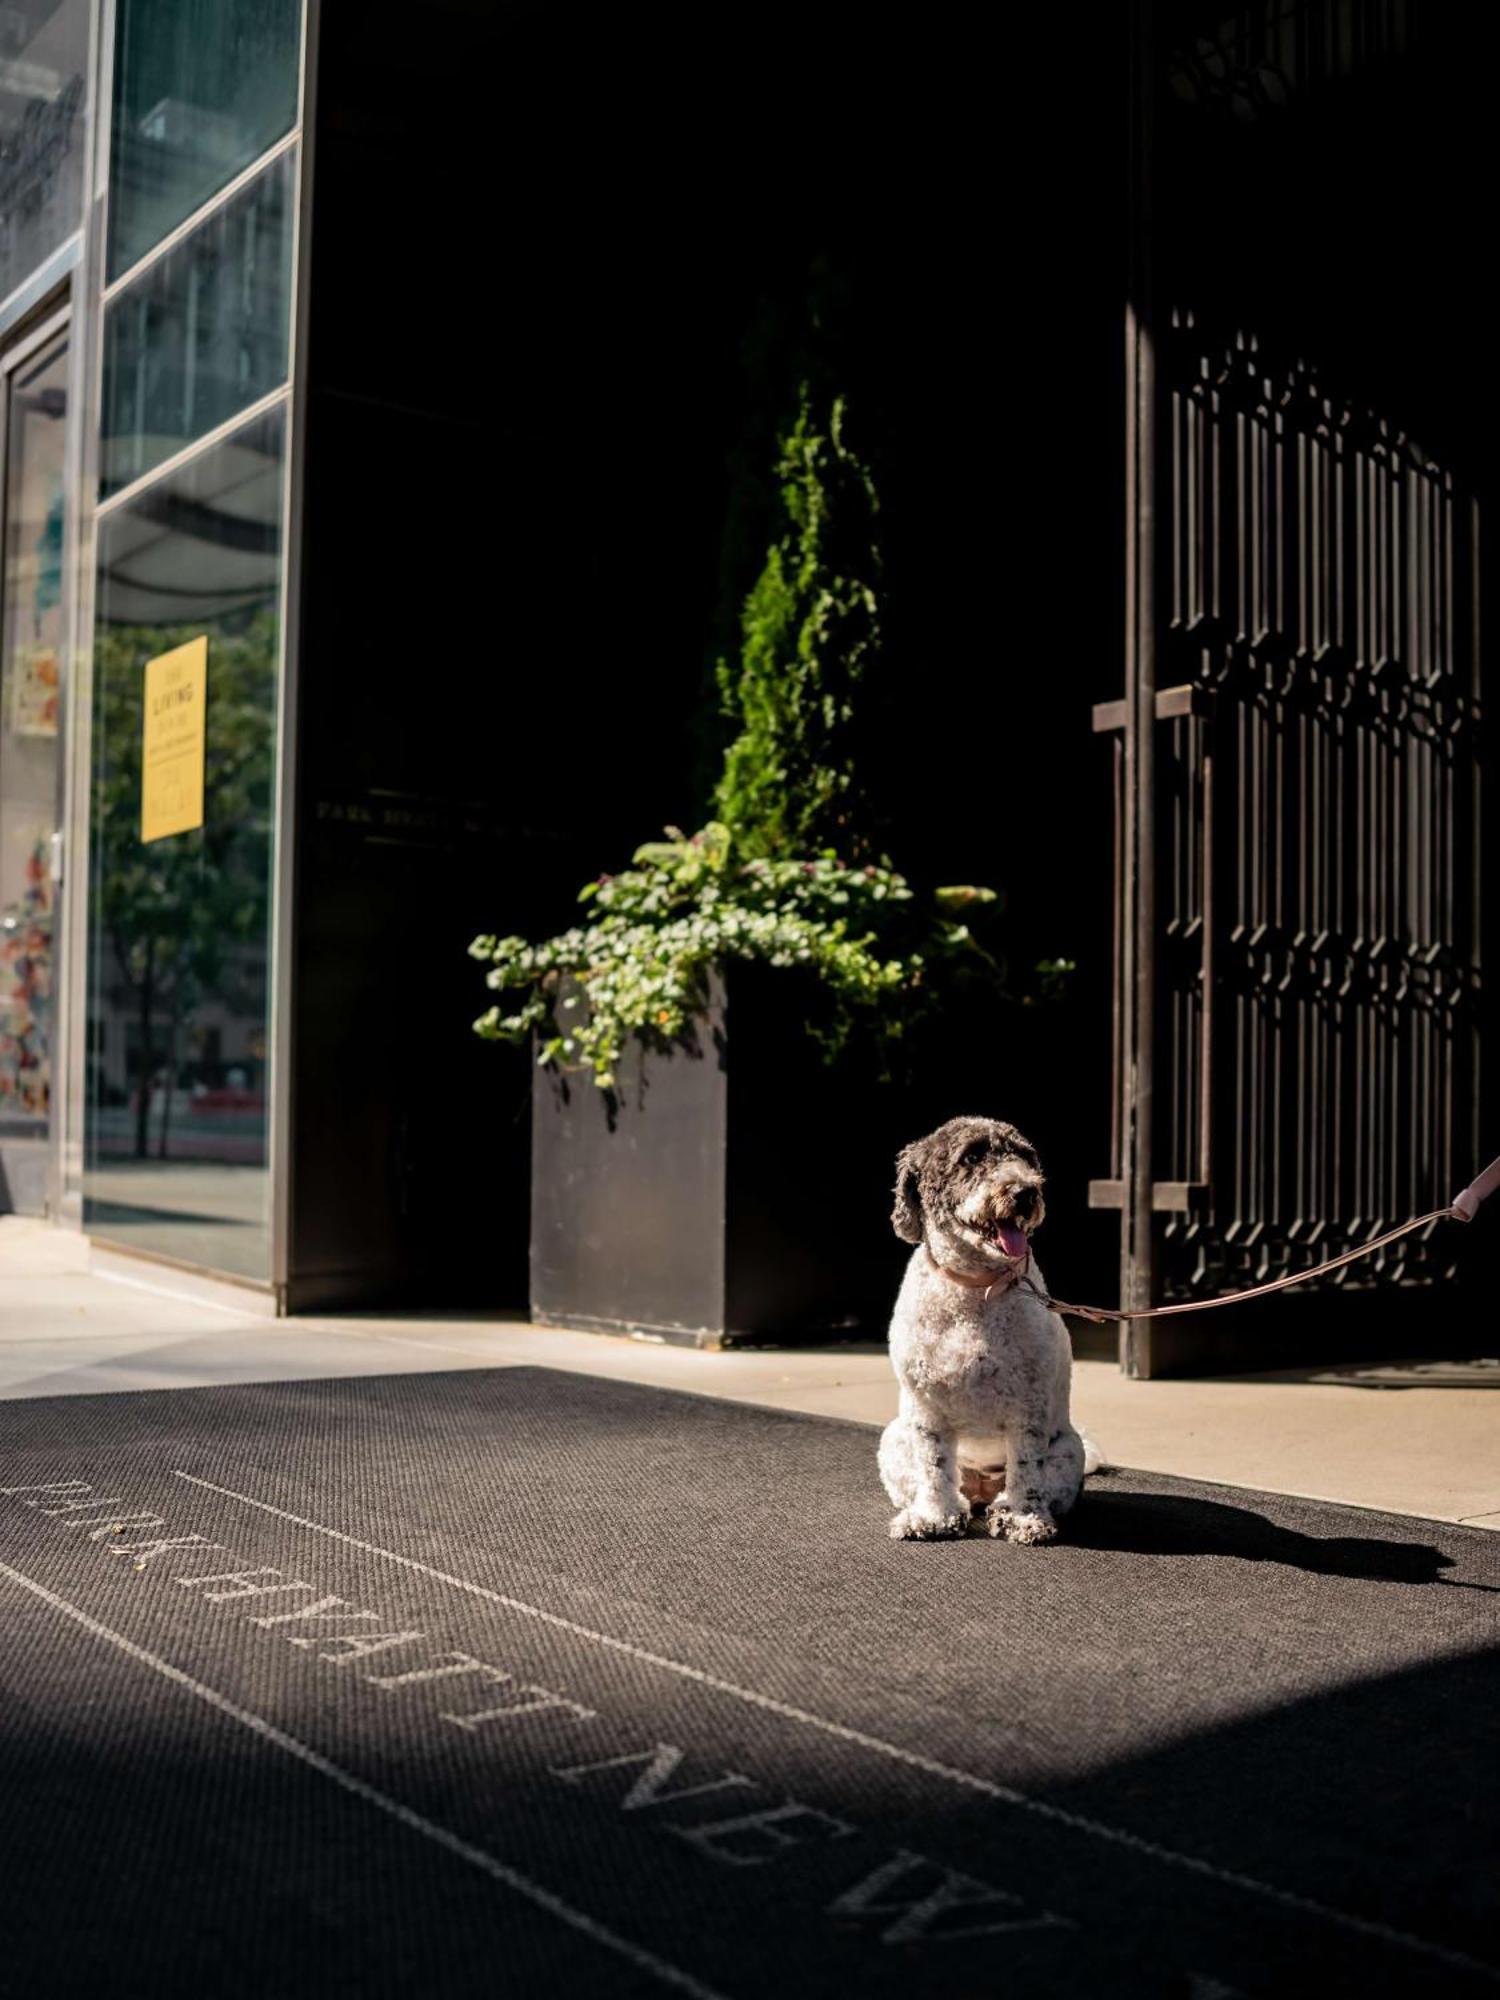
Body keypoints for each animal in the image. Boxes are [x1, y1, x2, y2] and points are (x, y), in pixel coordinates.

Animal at [880, 1120, 1104, 1536]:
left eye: (1026, 1157)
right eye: (970, 1157)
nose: (1025, 1191)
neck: (977, 1289)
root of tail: (981, 1487)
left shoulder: (1029, 1406)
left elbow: (1027, 1467)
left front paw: (1024, 1518)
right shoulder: (926, 1408)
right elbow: (933, 1465)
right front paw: (933, 1516)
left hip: (1069, 1450)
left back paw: (1003, 1507)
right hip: (893, 1440)